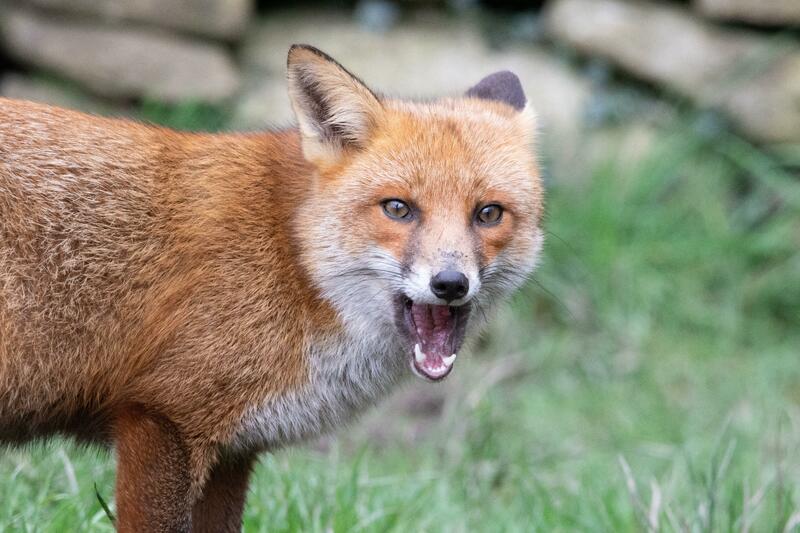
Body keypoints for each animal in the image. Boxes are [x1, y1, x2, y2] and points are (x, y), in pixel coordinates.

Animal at [0, 44, 544, 531]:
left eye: (488, 213)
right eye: (398, 208)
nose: (450, 283)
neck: (291, 258)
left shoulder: (231, 453)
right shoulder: (161, 419)